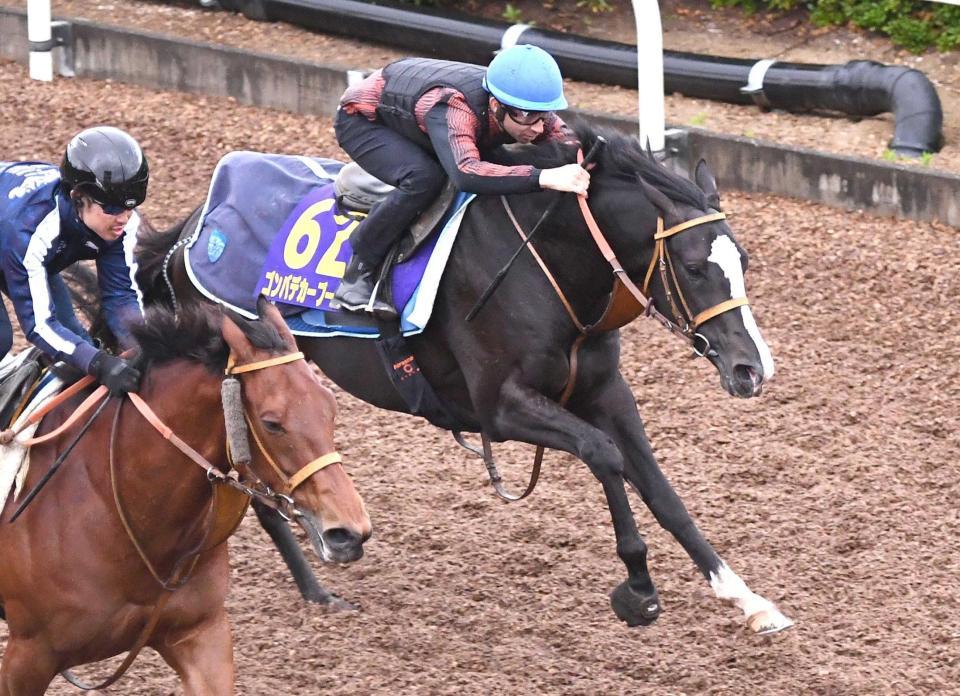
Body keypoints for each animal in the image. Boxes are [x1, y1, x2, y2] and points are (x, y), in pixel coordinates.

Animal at [133, 123, 796, 632]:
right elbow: (604, 455)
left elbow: (661, 491)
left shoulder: (606, 393)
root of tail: (193, 228)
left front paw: (748, 599)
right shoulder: (499, 408)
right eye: (694, 266)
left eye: (743, 260)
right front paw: (637, 589)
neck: (551, 261)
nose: (751, 367)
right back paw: (316, 584)